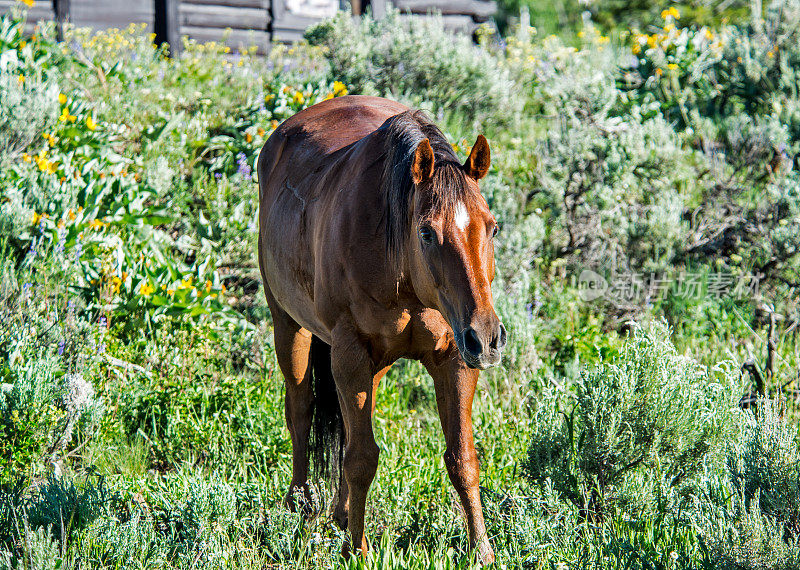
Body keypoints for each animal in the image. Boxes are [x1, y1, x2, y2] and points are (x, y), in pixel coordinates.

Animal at [256, 95, 506, 560]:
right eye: (426, 233)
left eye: (492, 227)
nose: (486, 338)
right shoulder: (350, 354)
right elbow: (361, 459)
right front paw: (358, 550)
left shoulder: (454, 358)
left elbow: (462, 458)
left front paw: (481, 551)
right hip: (289, 324)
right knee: (300, 409)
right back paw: (300, 505)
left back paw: (337, 513)